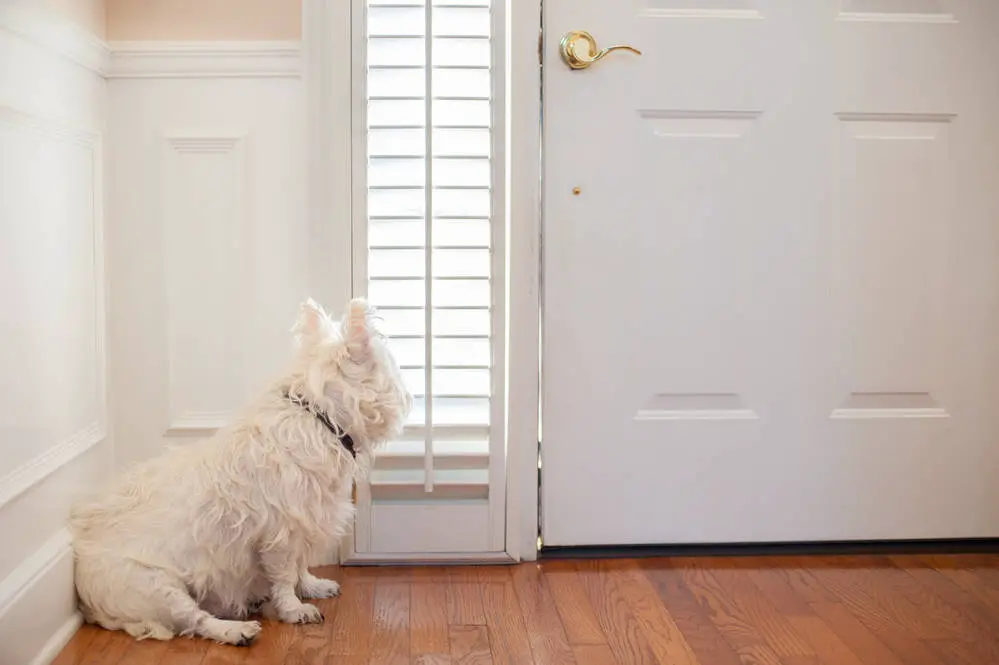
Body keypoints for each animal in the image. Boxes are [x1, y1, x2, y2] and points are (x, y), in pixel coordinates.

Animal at [68, 296, 410, 644]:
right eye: (391, 363)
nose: (408, 391)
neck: (318, 416)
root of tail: (85, 596)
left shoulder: (303, 522)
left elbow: (300, 566)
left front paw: (312, 586)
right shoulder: (281, 532)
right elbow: (285, 574)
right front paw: (294, 609)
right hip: (155, 587)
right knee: (196, 620)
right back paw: (236, 630)